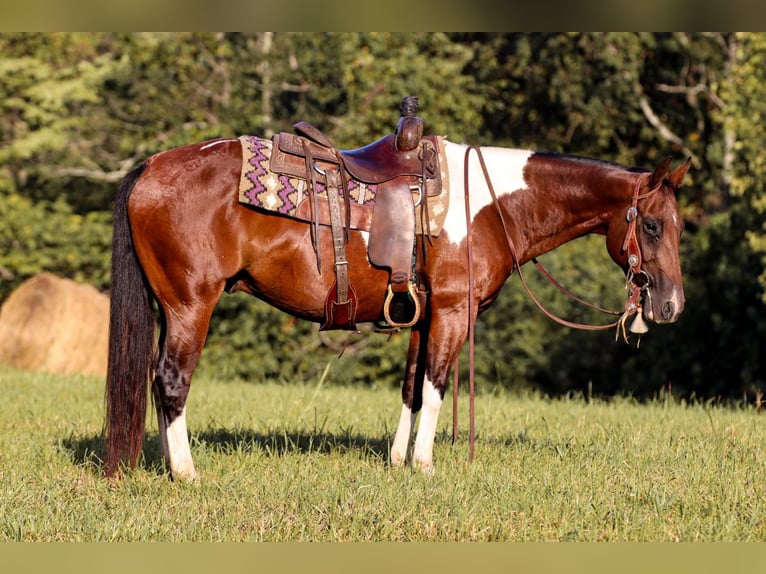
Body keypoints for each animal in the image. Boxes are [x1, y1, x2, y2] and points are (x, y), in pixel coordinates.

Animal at [105, 130, 692, 482]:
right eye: (652, 225)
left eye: (680, 226)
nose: (671, 305)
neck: (489, 205)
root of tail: (151, 166)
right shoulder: (453, 313)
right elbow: (434, 388)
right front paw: (426, 466)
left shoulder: (422, 317)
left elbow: (411, 389)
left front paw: (397, 460)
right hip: (190, 304)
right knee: (172, 379)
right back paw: (185, 473)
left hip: (171, 308)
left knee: (157, 380)